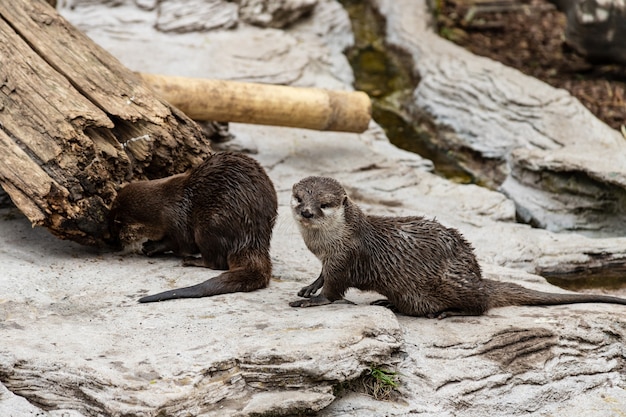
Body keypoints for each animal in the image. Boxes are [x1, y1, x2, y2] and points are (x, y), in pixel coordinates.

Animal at [108, 151, 276, 300]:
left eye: (118, 229)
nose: (113, 241)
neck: (165, 205)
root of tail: (252, 237)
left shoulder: (177, 220)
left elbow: (181, 243)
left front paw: (152, 247)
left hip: (208, 226)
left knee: (216, 262)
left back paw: (192, 261)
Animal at [288, 175, 624, 316]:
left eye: (325, 204)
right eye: (299, 197)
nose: (307, 212)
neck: (325, 243)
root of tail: (478, 275)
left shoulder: (347, 256)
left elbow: (335, 289)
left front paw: (313, 300)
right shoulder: (329, 258)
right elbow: (322, 276)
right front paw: (309, 287)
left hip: (450, 280)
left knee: (482, 305)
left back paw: (450, 313)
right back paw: (389, 303)